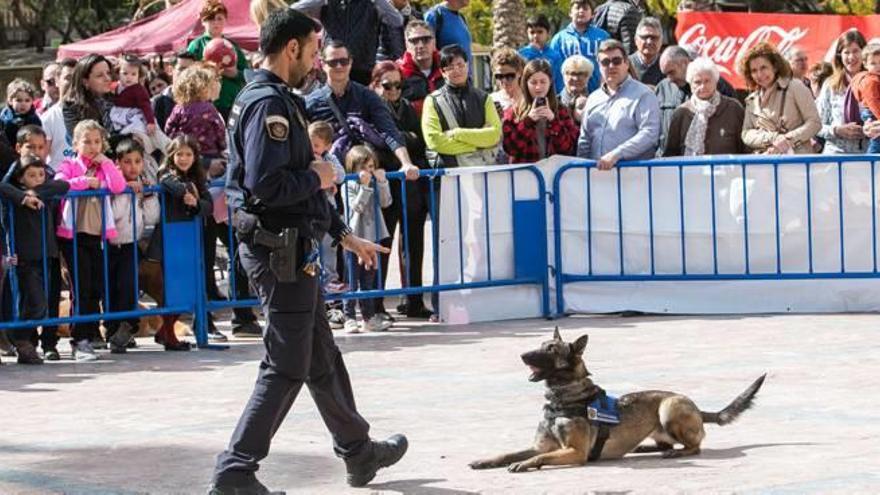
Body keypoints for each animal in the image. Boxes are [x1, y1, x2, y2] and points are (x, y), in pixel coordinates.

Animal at [468, 330, 764, 472]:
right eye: (541, 345)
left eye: (550, 350)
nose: (521, 355)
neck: (562, 399)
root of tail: (699, 409)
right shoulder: (537, 445)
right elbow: (508, 452)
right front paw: (486, 460)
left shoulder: (574, 452)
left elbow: (539, 457)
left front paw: (524, 465)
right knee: (665, 442)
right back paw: (643, 447)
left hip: (669, 407)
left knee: (694, 446)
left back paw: (676, 452)